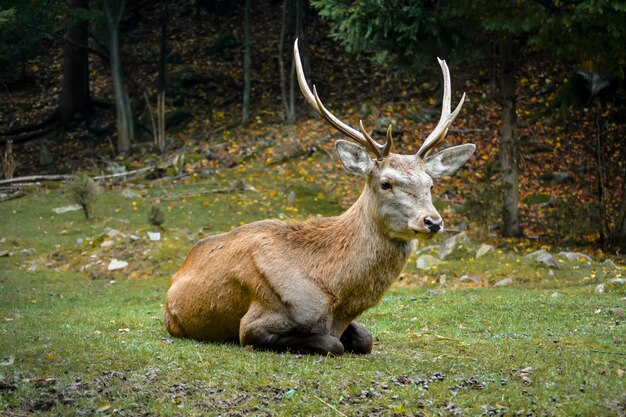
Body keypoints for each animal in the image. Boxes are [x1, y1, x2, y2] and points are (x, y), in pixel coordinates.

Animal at [163, 40, 476, 354]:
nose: (432, 221)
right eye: (386, 183)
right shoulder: (253, 324)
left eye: (430, 184)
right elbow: (331, 344)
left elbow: (366, 338)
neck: (335, 297)